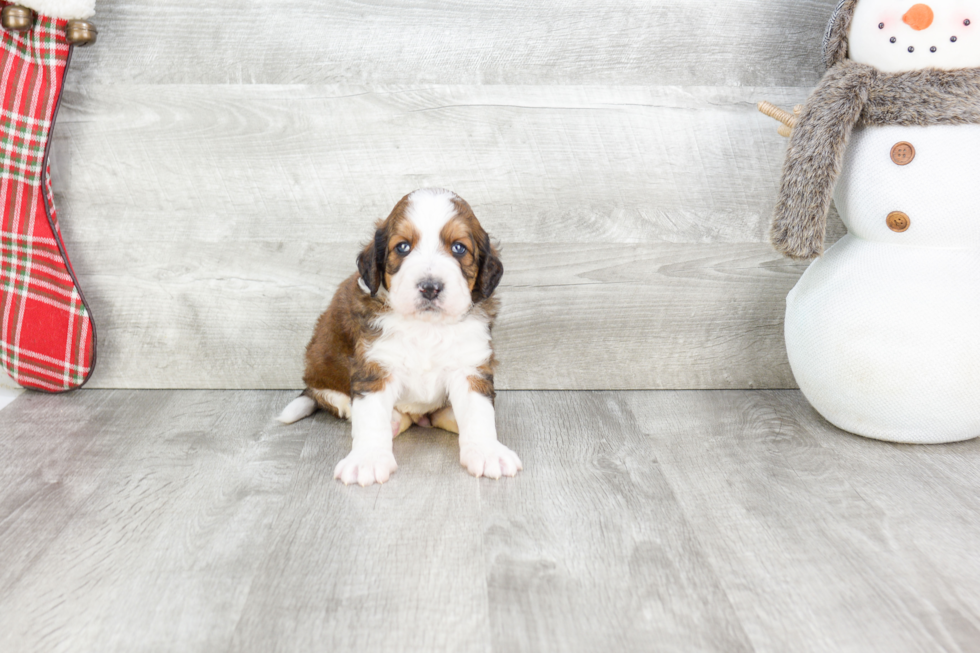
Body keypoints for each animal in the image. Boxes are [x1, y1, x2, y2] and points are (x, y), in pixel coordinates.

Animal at [276, 188, 520, 484]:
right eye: (403, 247)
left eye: (459, 248)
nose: (430, 287)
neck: (426, 327)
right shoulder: (374, 366)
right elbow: (370, 416)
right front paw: (367, 459)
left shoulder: (470, 364)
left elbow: (479, 413)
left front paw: (487, 452)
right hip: (320, 368)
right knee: (336, 398)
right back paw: (388, 420)